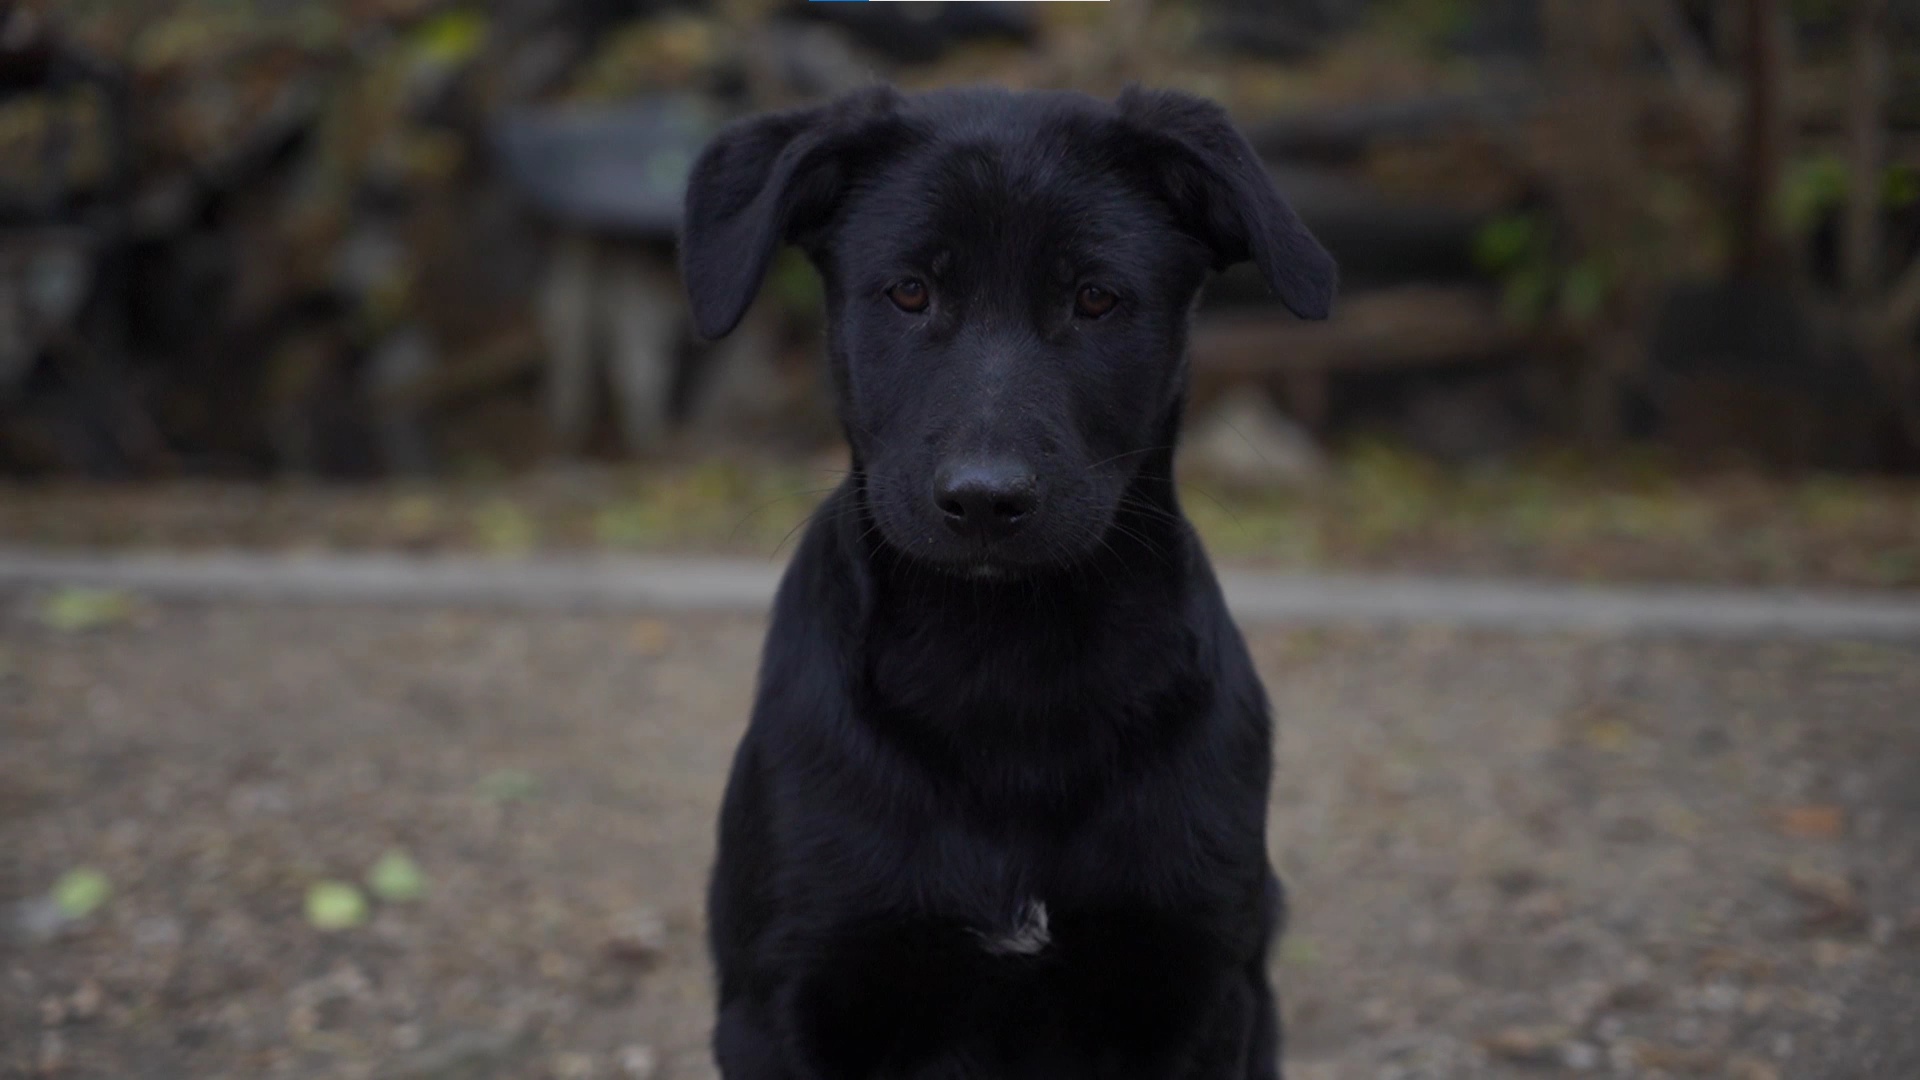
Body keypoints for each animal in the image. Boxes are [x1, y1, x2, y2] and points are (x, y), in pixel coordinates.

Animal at [687, 85, 1336, 1076]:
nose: (986, 500)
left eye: (1096, 297)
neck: (1005, 663)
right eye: (910, 291)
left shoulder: (1200, 989)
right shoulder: (784, 1001)